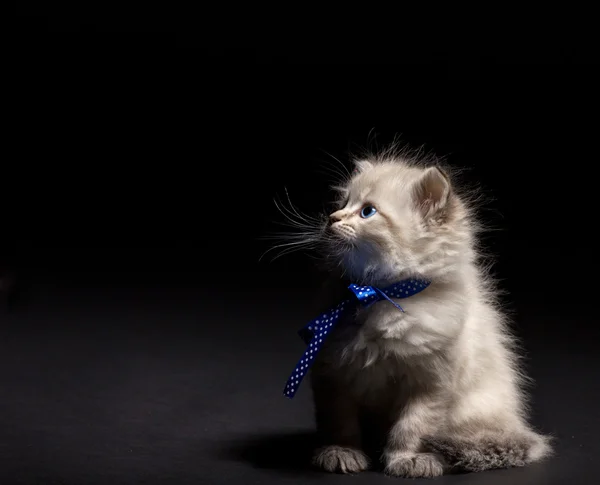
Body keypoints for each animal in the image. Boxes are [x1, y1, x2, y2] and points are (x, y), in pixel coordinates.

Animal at [294, 150, 548, 476]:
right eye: (342, 204)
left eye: (367, 212)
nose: (332, 219)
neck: (380, 295)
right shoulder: (333, 374)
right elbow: (340, 423)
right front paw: (341, 453)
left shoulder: (431, 383)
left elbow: (413, 426)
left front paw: (408, 459)